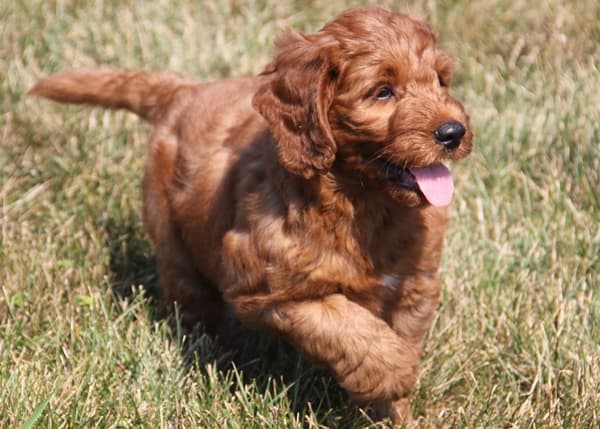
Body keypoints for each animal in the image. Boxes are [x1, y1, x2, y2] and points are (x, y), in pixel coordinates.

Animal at [30, 6, 474, 424]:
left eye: (440, 80)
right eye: (383, 92)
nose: (453, 132)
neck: (364, 203)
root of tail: (185, 92)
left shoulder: (414, 285)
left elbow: (396, 334)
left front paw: (392, 413)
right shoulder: (265, 285)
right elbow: (346, 326)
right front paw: (396, 371)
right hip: (174, 242)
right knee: (192, 302)